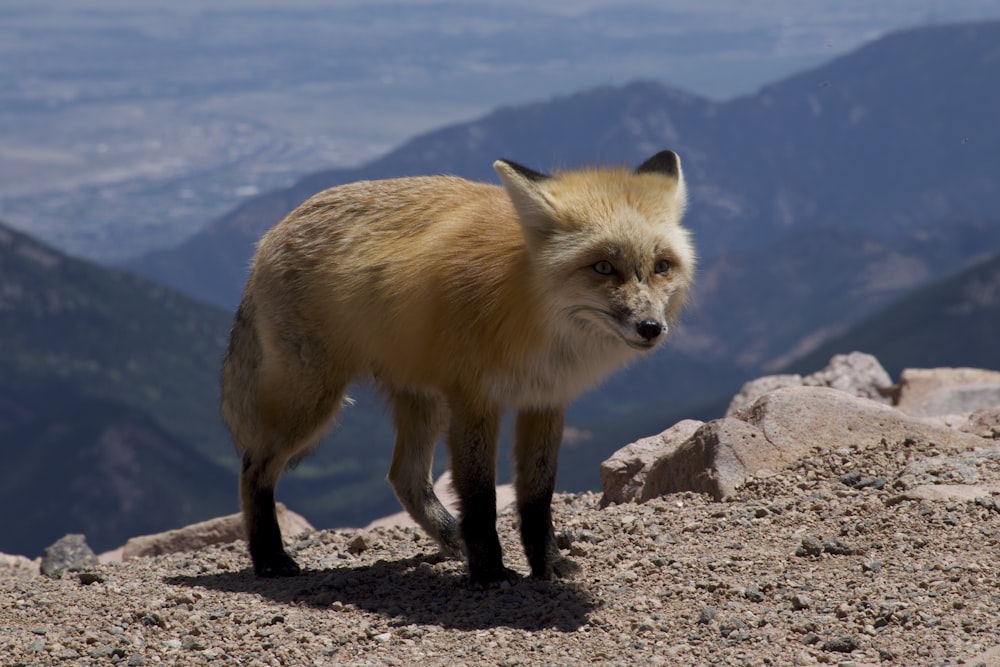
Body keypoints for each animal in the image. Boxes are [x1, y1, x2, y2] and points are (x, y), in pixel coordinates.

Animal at [219, 151, 692, 584]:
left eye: (661, 266)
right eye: (603, 267)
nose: (651, 328)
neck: (530, 314)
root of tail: (270, 236)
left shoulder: (544, 399)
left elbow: (538, 497)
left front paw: (548, 565)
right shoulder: (474, 399)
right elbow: (480, 497)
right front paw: (489, 571)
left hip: (424, 403)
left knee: (404, 478)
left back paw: (452, 541)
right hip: (314, 402)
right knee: (253, 467)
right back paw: (269, 558)